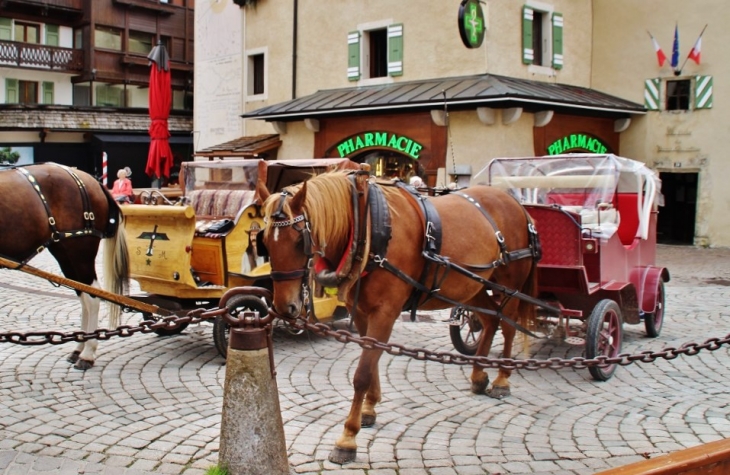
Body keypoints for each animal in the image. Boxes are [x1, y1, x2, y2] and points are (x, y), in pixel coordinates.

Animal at [0, 165, 128, 372]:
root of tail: (92, 180)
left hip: (79, 251)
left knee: (92, 297)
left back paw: (87, 353)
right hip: (65, 253)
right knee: (84, 295)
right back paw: (79, 347)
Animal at [258, 171, 536, 464]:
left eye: (300, 241)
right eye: (264, 242)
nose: (284, 307)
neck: (367, 224)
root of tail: (516, 203)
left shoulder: (385, 312)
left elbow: (362, 373)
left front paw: (348, 438)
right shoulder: (361, 311)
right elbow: (372, 361)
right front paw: (369, 409)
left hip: (510, 286)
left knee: (508, 326)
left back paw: (502, 379)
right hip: (472, 287)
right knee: (491, 321)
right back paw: (479, 376)